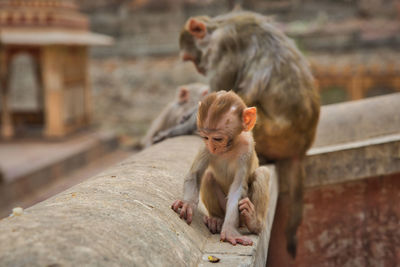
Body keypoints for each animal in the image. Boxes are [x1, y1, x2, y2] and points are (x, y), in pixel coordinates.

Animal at [171, 91, 268, 246]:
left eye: (218, 139)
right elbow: (195, 174)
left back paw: (254, 223)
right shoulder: (205, 147)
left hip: (241, 217)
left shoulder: (246, 149)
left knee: (261, 173)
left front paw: (229, 230)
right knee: (208, 177)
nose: (212, 147)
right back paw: (217, 219)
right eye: (206, 137)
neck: (230, 147)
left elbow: (238, 188)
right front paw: (187, 204)